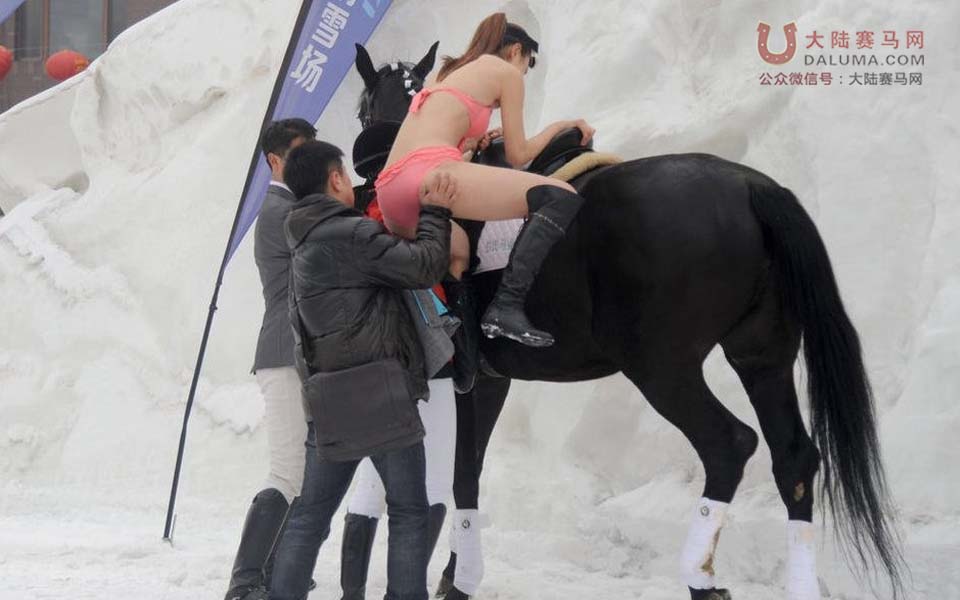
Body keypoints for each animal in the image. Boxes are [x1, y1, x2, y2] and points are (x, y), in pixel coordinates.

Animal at [349, 42, 905, 600]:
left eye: (360, 110)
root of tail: (750, 186)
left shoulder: (470, 382)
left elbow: (459, 474)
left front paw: (456, 578)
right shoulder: (489, 380)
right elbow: (463, 471)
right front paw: (455, 571)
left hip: (661, 368)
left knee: (728, 445)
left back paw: (701, 578)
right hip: (762, 355)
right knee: (793, 458)